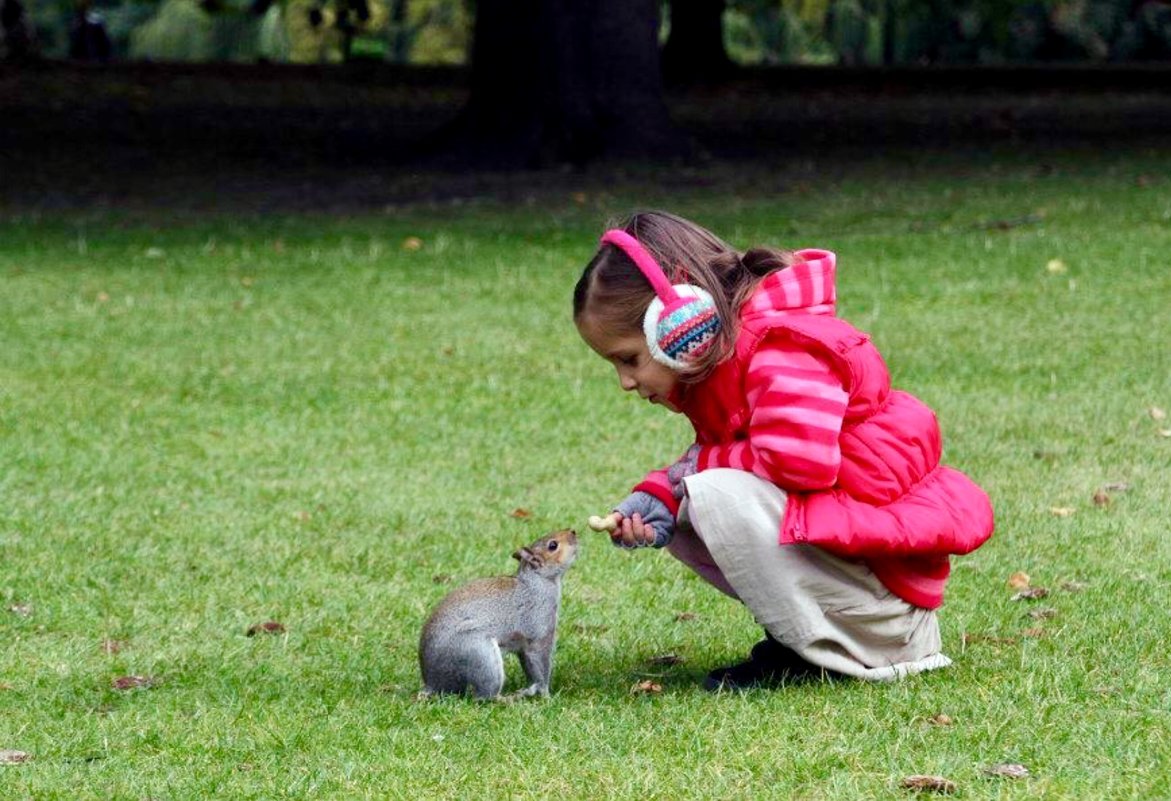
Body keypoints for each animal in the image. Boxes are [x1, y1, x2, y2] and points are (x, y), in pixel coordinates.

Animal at [419, 529, 578, 697]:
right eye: (553, 545)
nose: (573, 531)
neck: (538, 582)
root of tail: (432, 683)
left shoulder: (523, 645)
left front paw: (534, 688)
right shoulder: (538, 631)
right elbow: (540, 663)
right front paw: (546, 694)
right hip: (480, 655)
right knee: (484, 696)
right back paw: (506, 699)